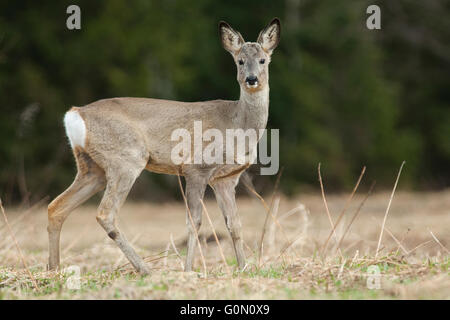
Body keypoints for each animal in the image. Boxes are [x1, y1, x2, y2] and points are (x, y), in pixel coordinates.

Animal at [49, 17, 282, 274]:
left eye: (263, 60)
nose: (251, 79)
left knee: (56, 207)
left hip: (92, 167)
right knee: (104, 213)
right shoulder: (195, 169)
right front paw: (189, 270)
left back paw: (53, 269)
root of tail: (74, 113)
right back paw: (145, 269)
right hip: (126, 159)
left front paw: (243, 269)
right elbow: (194, 223)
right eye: (240, 61)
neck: (237, 124)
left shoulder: (226, 178)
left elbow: (235, 225)